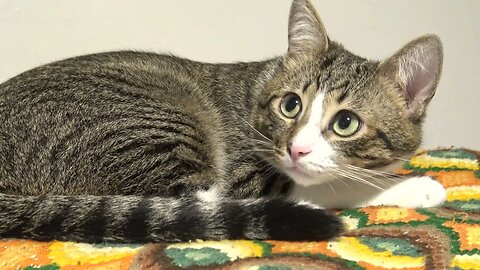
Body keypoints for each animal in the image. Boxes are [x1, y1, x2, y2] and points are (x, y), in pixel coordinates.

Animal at [0, 0, 442, 245]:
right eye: (291, 105)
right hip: (149, 123)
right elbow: (332, 184)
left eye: (346, 122)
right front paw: (412, 185)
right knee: (195, 203)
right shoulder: (248, 174)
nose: (296, 148)